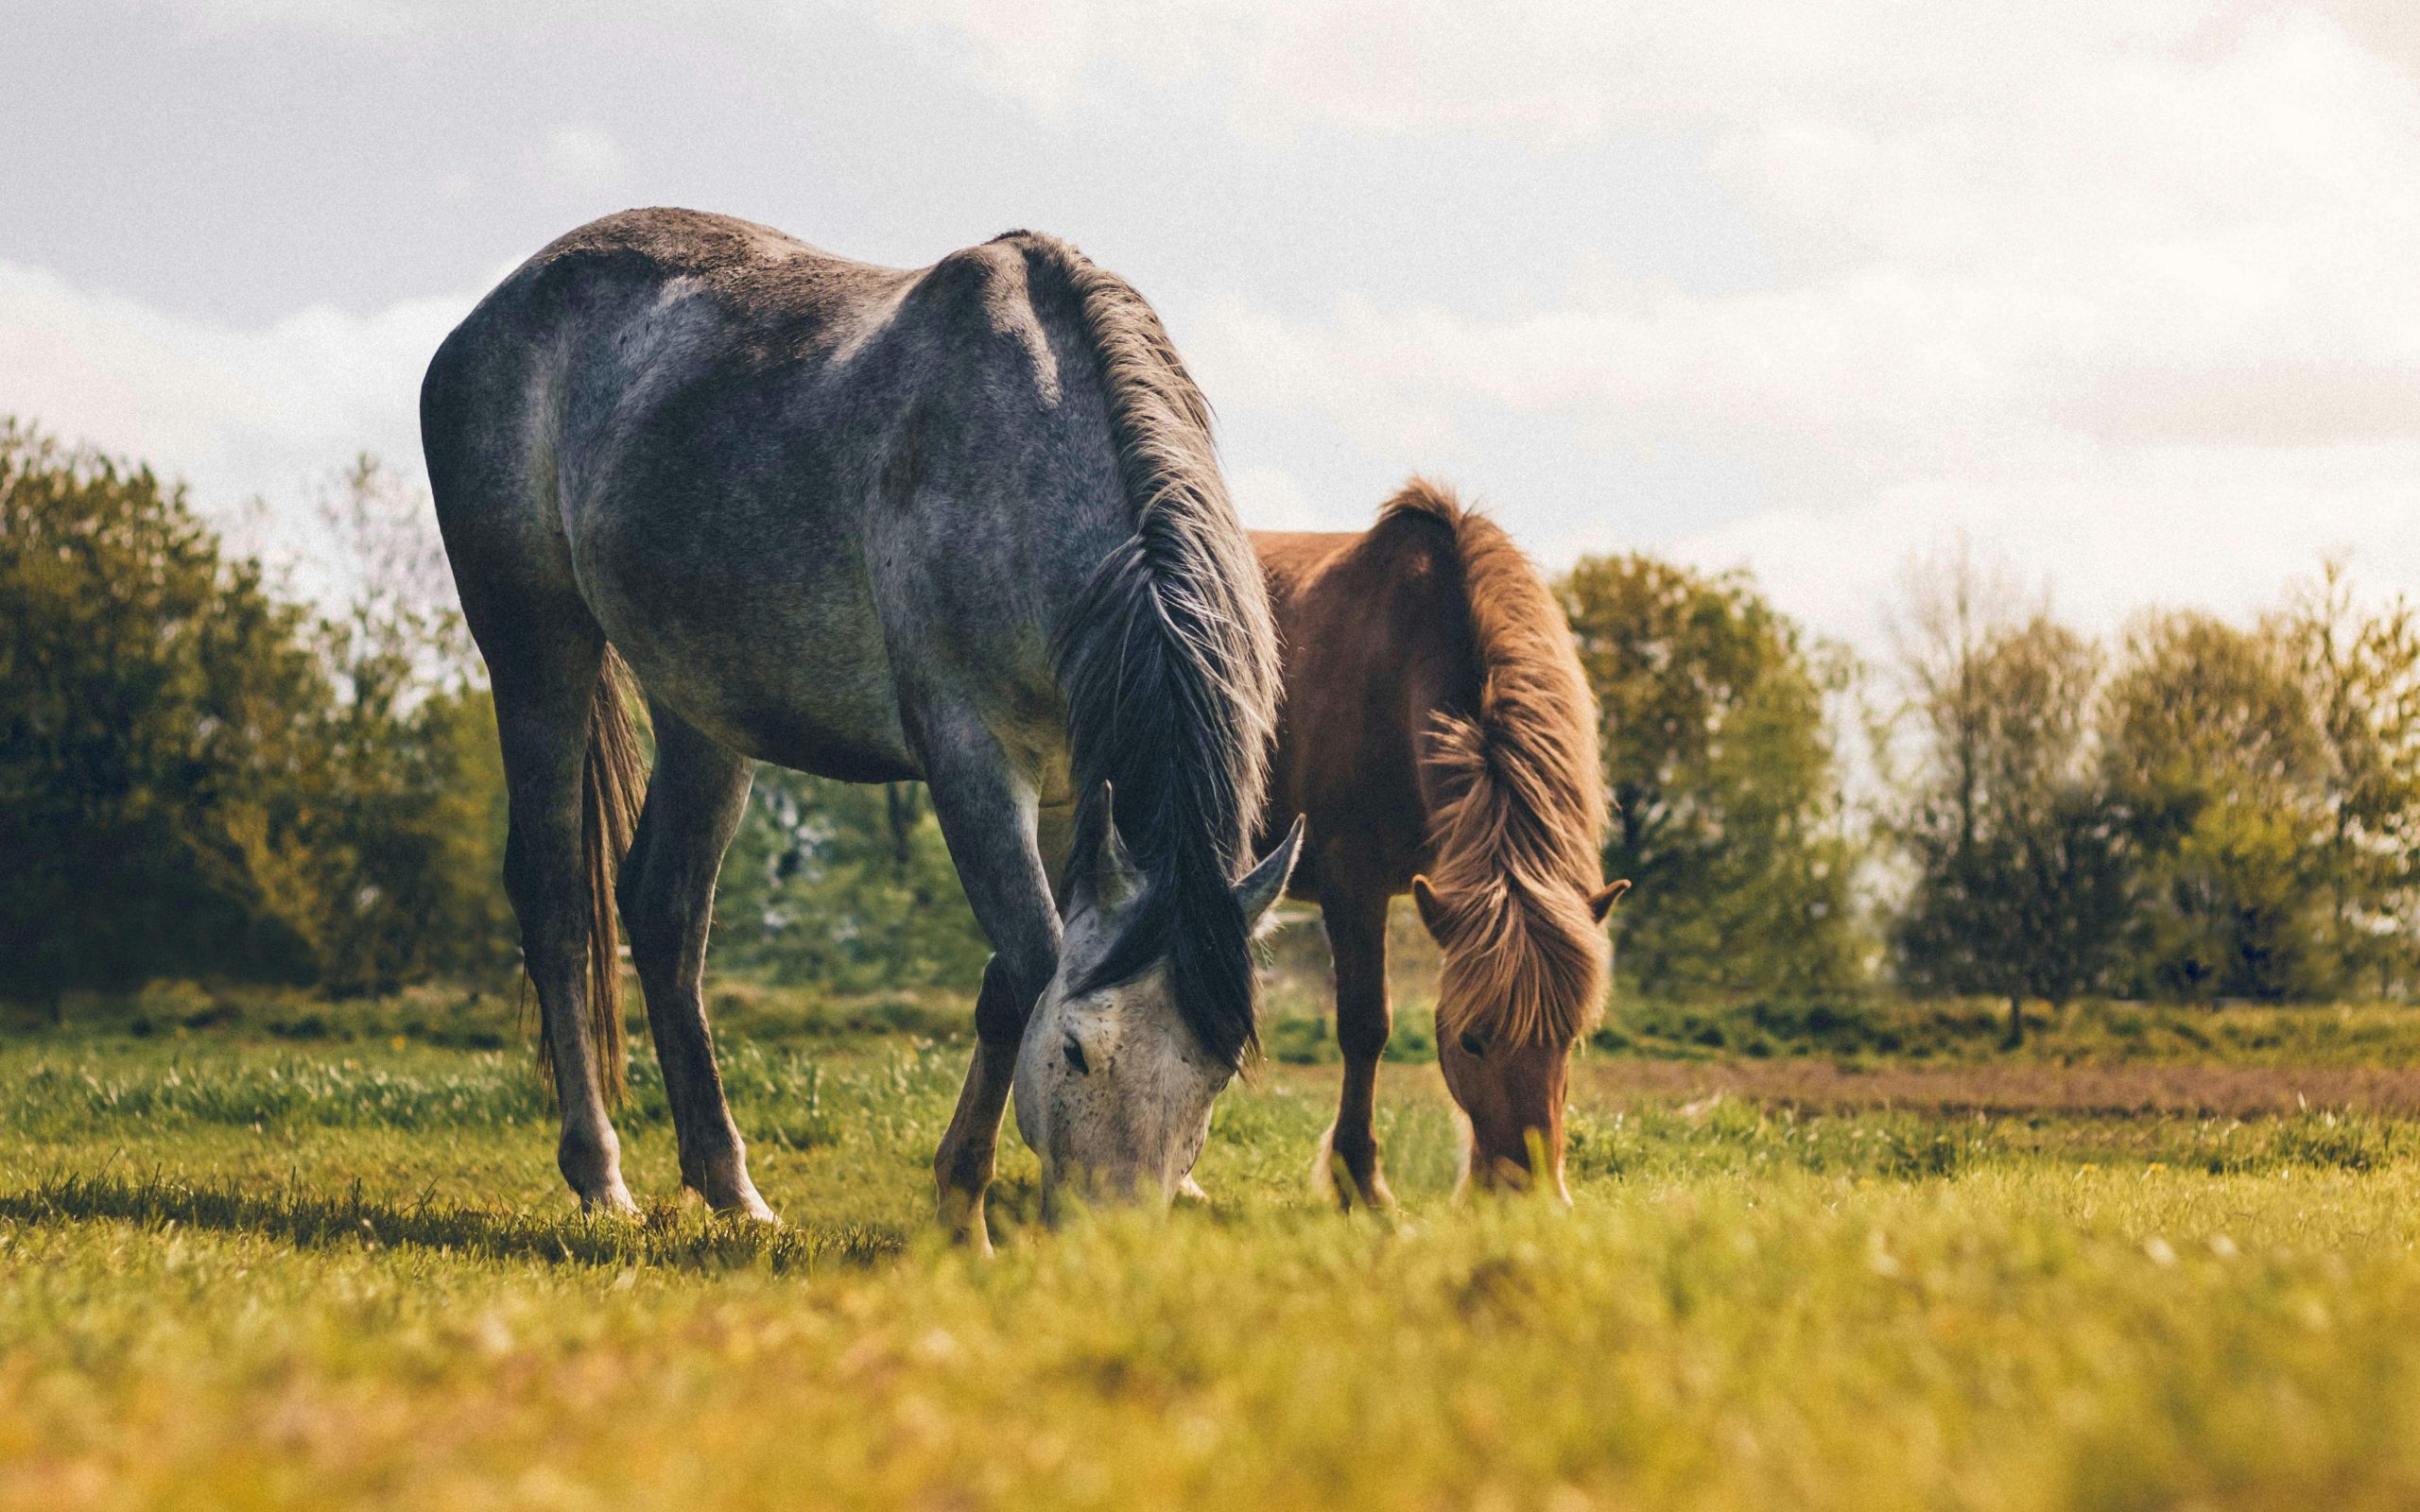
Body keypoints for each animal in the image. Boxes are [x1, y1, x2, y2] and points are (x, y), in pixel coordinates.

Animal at [420, 208, 1302, 1242]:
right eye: (1081, 1051)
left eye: (1216, 1073)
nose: (1109, 1243)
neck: (1028, 452)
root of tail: (492, 313)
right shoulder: (970, 758)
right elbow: (1030, 965)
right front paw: (964, 1213)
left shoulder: (1069, 791)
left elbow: (1009, 982)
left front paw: (957, 1198)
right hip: (536, 652)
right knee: (560, 901)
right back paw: (600, 1177)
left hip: (701, 708)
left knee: (665, 913)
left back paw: (731, 1187)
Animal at [1254, 481, 1625, 1205]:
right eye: (1472, 1041)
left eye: (1569, 1039)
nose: (1529, 1196)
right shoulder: (1352, 881)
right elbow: (1365, 1026)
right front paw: (1362, 1184)